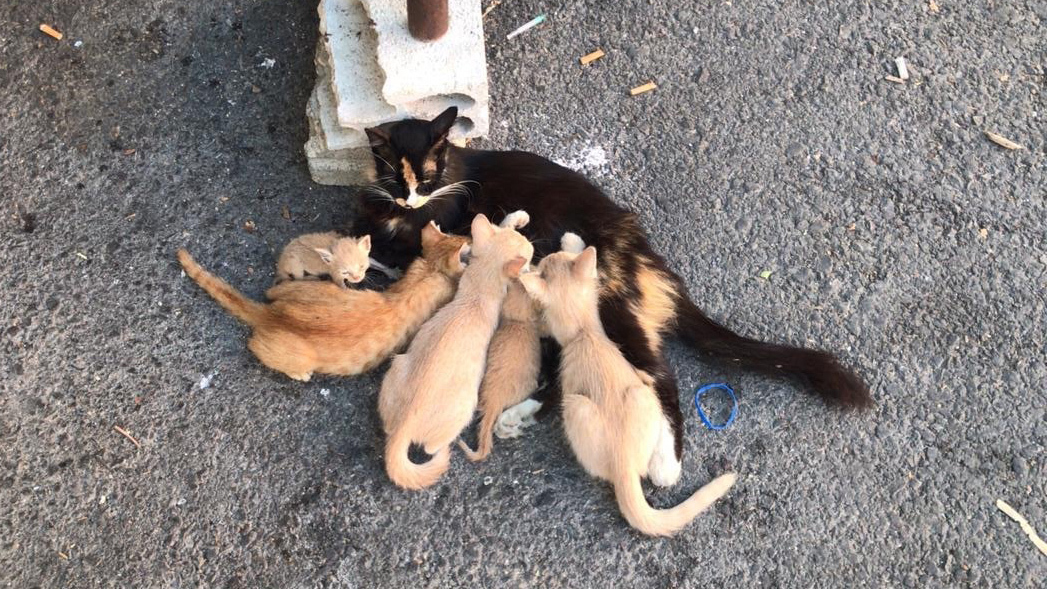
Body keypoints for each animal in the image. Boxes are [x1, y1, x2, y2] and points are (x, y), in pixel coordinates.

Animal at [177, 222, 469, 382]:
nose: (469, 235)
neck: (428, 271)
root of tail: (270, 314)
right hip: (293, 355)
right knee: (254, 345)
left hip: (298, 287)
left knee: (273, 289)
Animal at [381, 214, 536, 491]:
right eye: (528, 251)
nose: (533, 245)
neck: (479, 291)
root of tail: (403, 428)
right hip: (465, 406)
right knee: (431, 447)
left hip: (397, 366)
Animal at [521, 234, 737, 535]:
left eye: (549, 259)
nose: (545, 254)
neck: (583, 333)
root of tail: (623, 465)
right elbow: (591, 268)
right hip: (641, 394)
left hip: (575, 404)